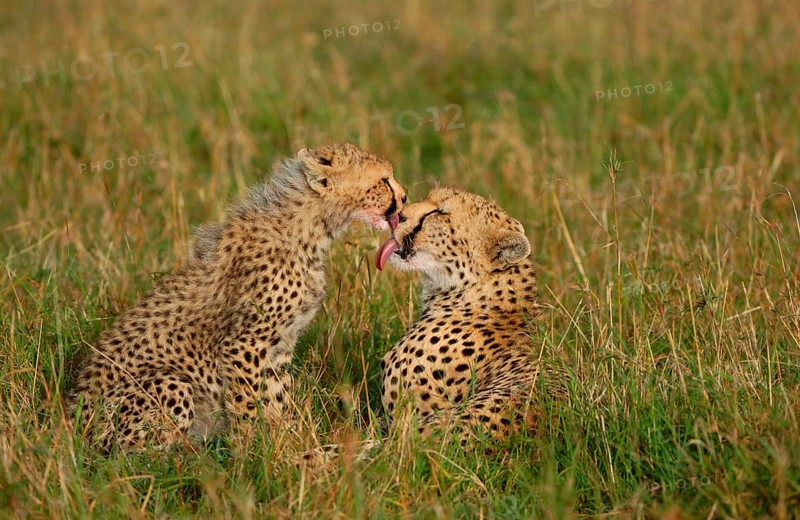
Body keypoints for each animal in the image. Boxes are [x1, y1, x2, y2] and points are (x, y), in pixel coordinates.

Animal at [68, 142, 407, 451]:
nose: (404, 198)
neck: (311, 229)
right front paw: (253, 450)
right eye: (383, 180)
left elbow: (276, 396)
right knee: (135, 456)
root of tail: (71, 418)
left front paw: (284, 440)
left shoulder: (278, 347)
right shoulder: (243, 344)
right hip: (169, 383)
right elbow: (247, 404)